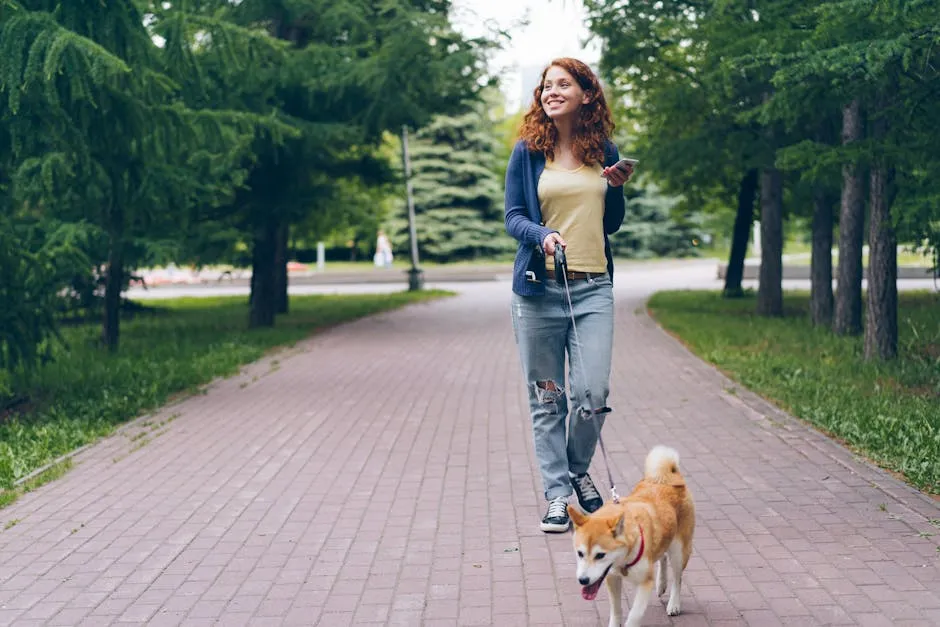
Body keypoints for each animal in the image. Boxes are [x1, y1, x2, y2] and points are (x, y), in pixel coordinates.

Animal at [564, 446, 692, 627]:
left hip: (679, 551)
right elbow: (616, 611)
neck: (623, 560)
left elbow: (634, 615)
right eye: (580, 553)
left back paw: (674, 604)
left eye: (600, 555)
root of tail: (671, 476)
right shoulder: (612, 578)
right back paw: (661, 584)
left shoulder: (645, 582)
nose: (583, 580)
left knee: (678, 577)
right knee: (662, 557)